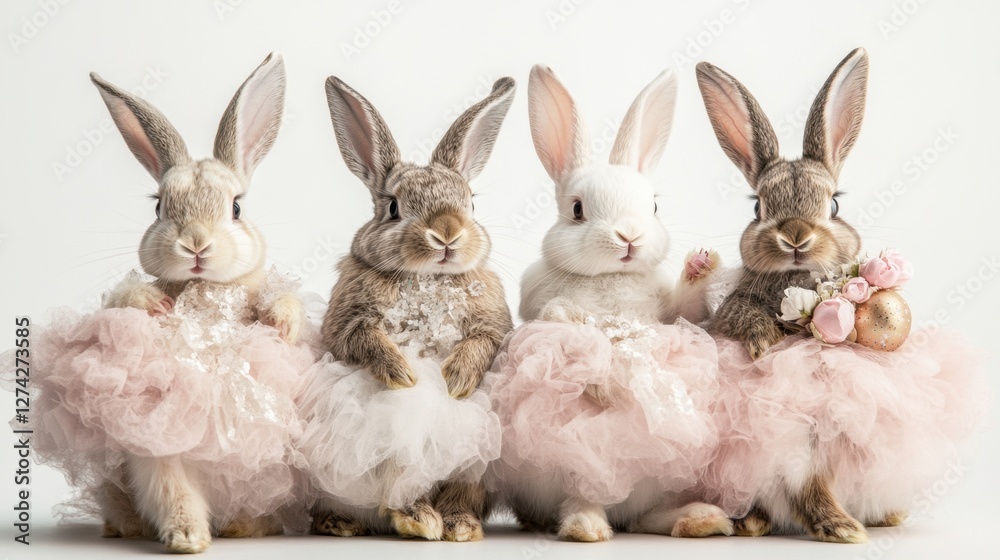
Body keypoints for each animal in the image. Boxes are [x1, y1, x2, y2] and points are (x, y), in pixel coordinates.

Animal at [83, 52, 306, 553]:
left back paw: (244, 527)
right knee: (169, 489)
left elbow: (284, 301)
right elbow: (125, 298)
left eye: (237, 208)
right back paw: (182, 536)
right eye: (159, 207)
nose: (196, 245)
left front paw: (280, 324)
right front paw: (155, 305)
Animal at [298, 75, 516, 541]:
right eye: (394, 207)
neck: (429, 277)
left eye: (471, 202)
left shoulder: (493, 323)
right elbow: (362, 339)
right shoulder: (348, 320)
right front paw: (404, 373)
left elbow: (483, 342)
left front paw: (455, 380)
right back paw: (388, 520)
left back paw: (457, 526)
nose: (447, 232)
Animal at [486, 64, 731, 543]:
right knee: (586, 490)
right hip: (573, 462)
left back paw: (699, 518)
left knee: (642, 516)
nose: (629, 237)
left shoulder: (670, 310)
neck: (610, 278)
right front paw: (601, 379)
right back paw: (586, 526)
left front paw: (700, 263)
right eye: (578, 210)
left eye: (652, 206)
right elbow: (569, 326)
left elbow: (686, 309)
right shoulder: (543, 302)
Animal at [696, 49, 875, 542]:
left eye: (834, 204)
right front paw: (765, 346)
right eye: (758, 207)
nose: (795, 236)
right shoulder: (734, 307)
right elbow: (745, 316)